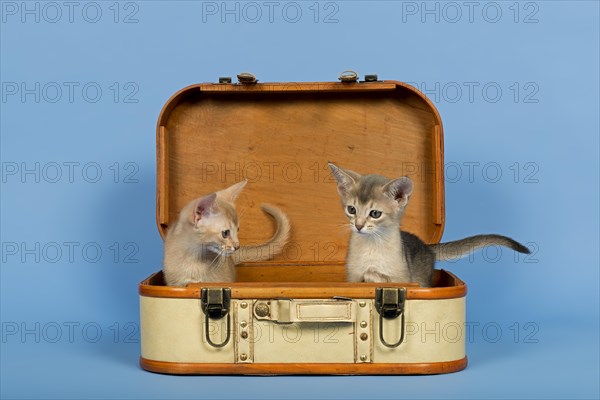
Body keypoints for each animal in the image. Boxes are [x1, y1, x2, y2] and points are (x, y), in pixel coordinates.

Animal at [328, 162, 528, 288]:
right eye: (352, 209)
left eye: (375, 214)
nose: (358, 226)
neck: (372, 247)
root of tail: (427, 246)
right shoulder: (352, 277)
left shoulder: (405, 279)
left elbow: (380, 277)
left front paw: (374, 276)